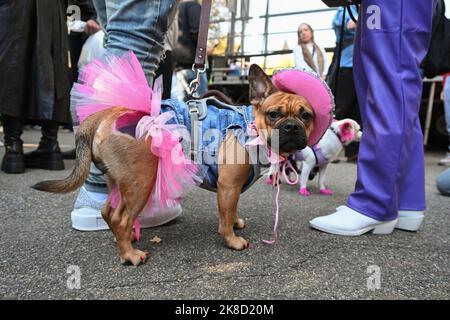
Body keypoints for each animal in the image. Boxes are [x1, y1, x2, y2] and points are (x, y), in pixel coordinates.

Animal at [32, 64, 312, 264]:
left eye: (306, 115)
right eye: (273, 114)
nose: (291, 126)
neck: (251, 126)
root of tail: (105, 114)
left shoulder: (232, 189)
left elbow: (231, 210)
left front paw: (235, 222)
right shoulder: (228, 185)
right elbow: (225, 215)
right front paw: (232, 239)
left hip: (120, 181)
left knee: (108, 212)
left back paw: (124, 242)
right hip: (142, 181)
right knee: (121, 218)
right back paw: (130, 255)